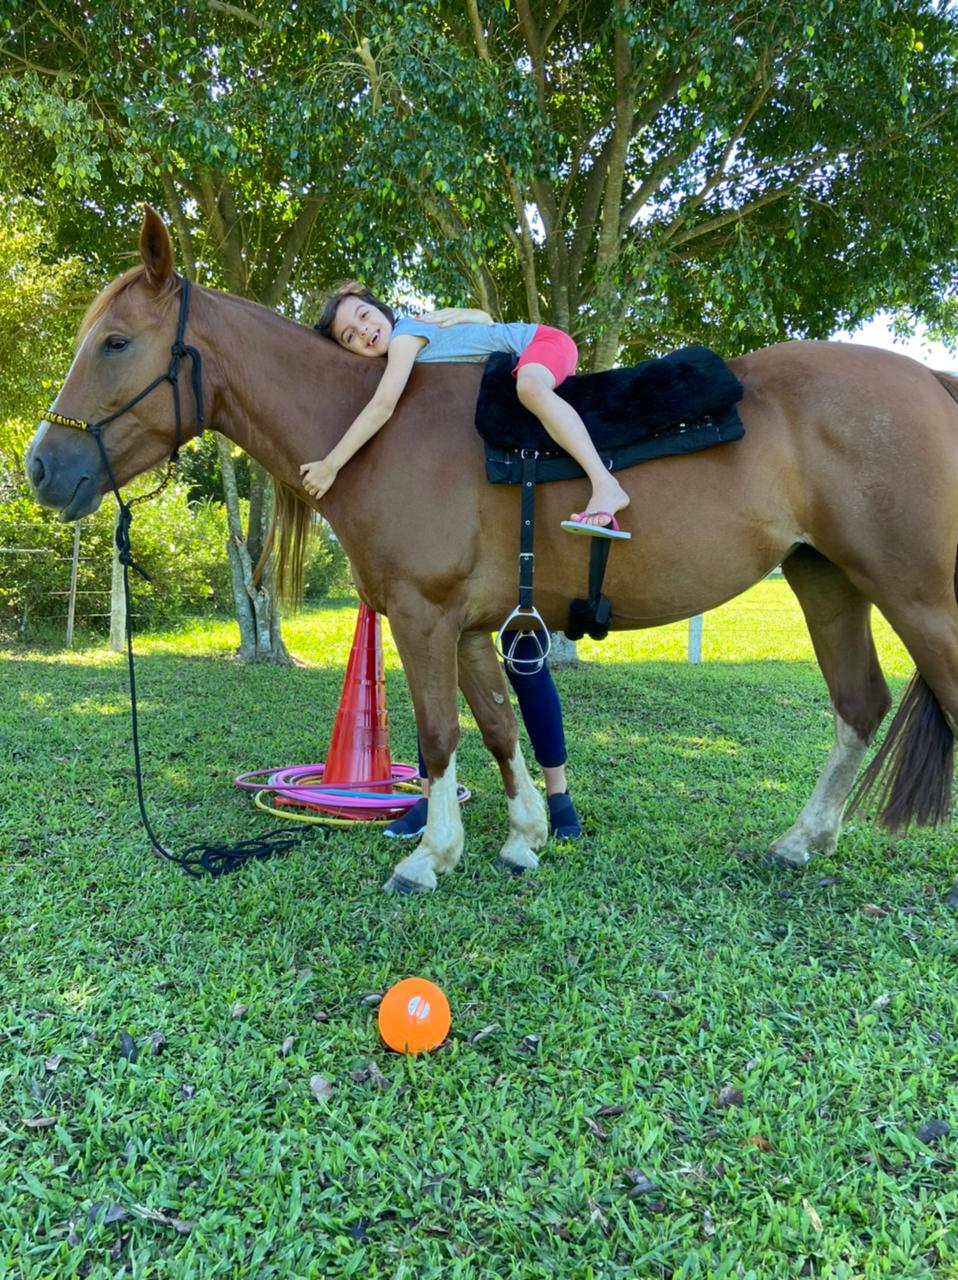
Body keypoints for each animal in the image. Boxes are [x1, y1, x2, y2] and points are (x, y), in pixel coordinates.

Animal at [26, 209, 957, 896]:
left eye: (115, 342)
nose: (40, 465)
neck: (380, 432)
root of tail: (929, 379)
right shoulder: (473, 629)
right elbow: (503, 727)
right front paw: (523, 838)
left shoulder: (423, 616)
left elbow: (441, 735)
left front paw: (428, 857)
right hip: (826, 579)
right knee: (859, 704)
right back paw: (802, 840)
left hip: (919, 597)